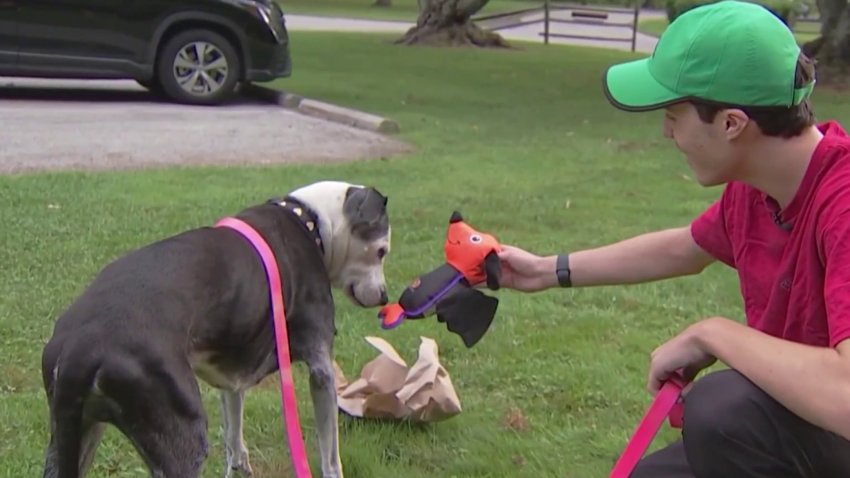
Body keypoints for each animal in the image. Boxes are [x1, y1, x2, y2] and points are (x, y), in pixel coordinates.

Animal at [39, 180, 390, 478]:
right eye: (382, 251)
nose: (386, 297)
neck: (309, 221)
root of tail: (80, 349)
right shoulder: (321, 368)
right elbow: (331, 455)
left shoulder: (231, 375)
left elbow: (234, 435)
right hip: (183, 437)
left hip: (72, 435)